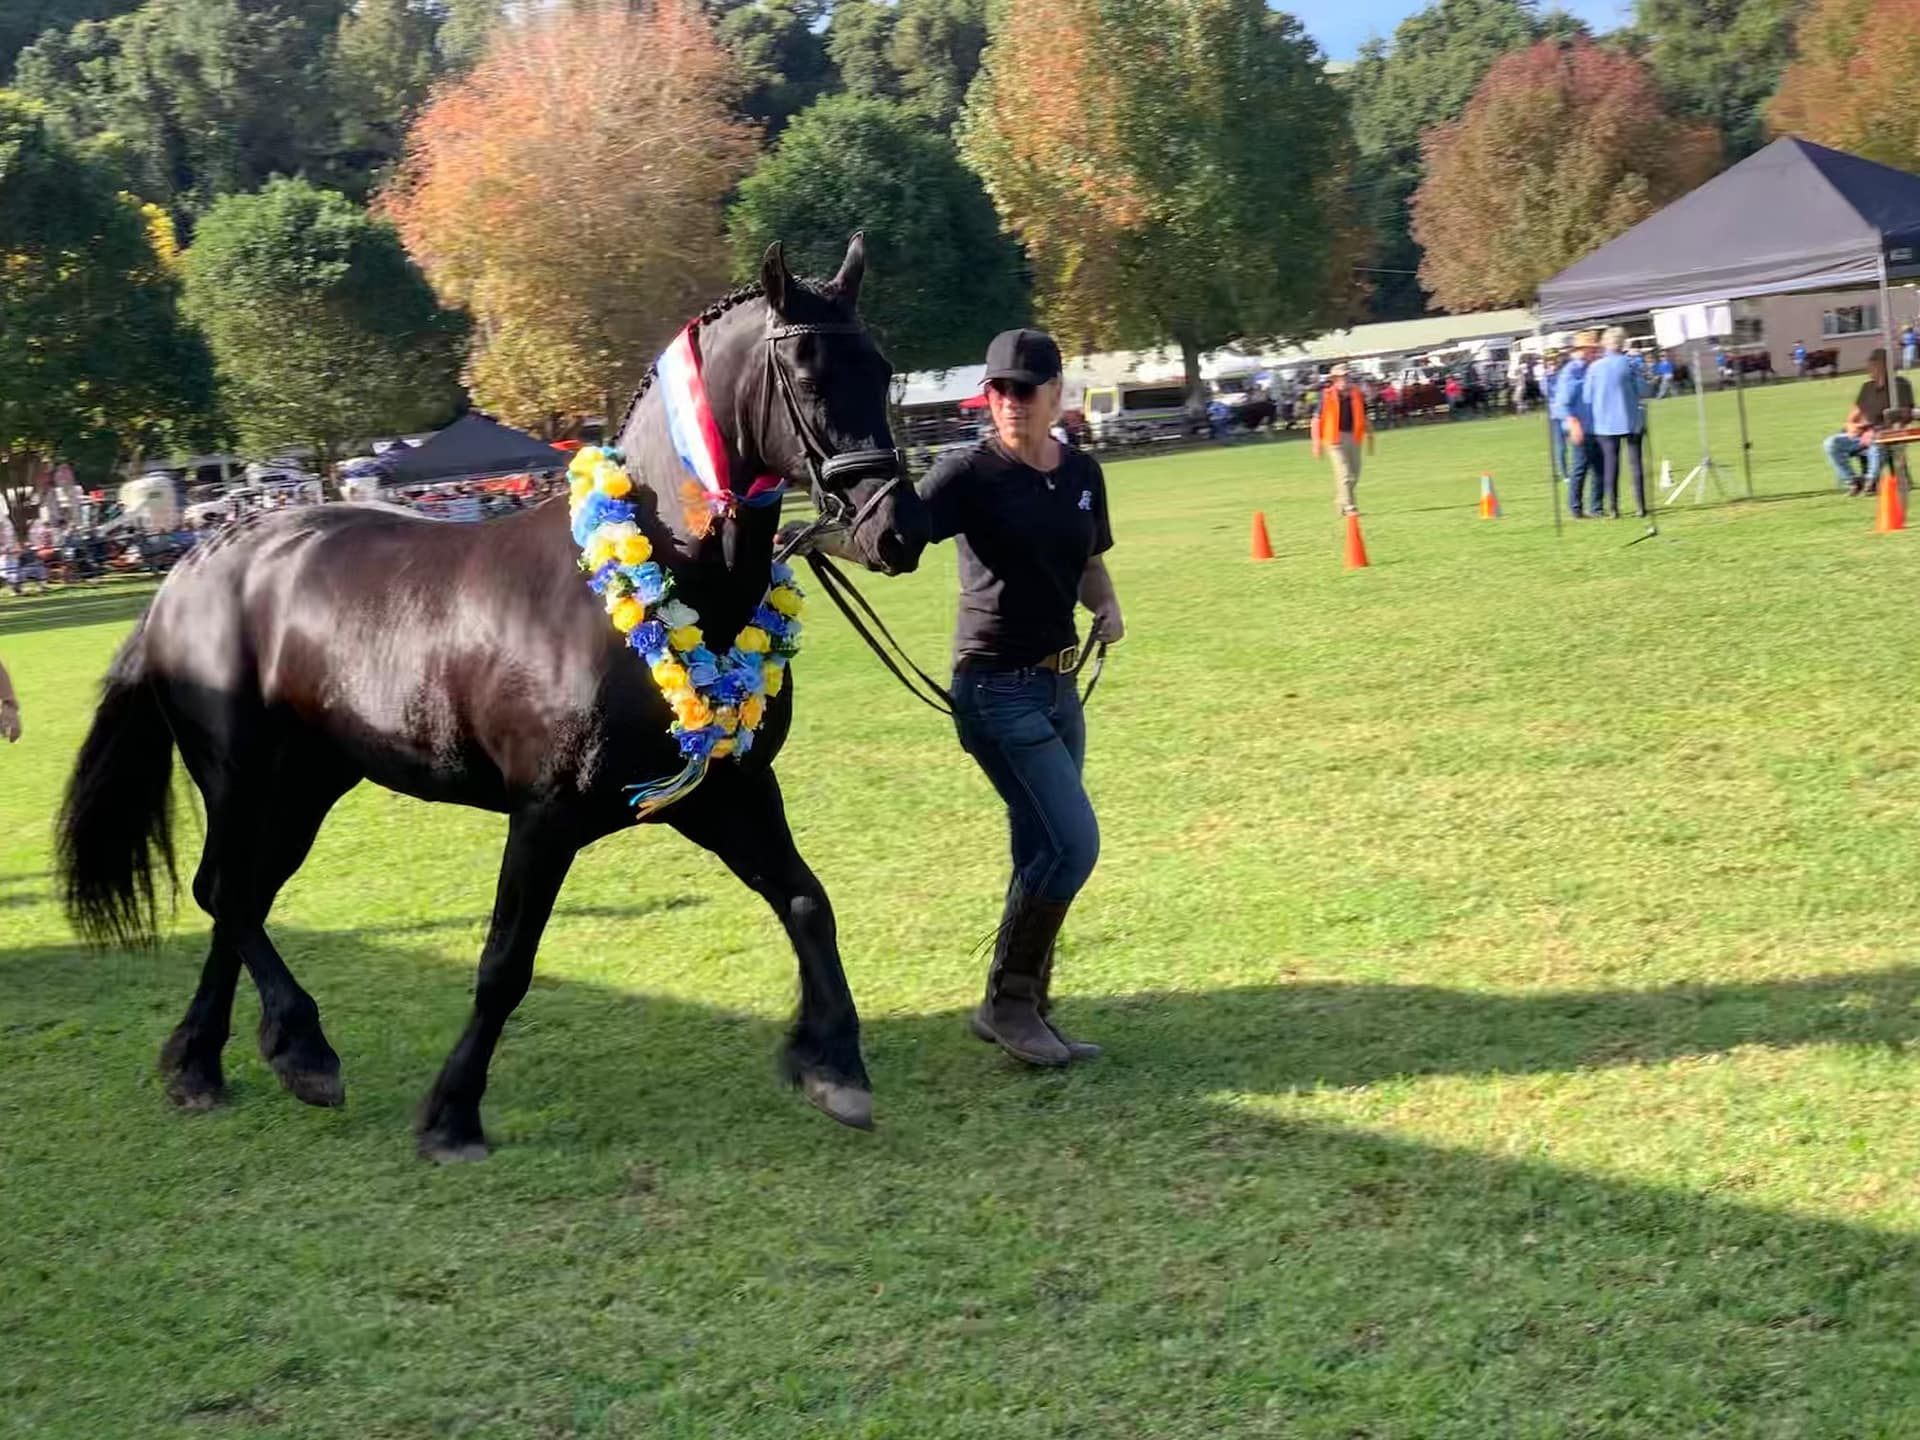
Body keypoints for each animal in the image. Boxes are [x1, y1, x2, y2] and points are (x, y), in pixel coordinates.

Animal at [56, 234, 928, 1161]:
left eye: (882, 368)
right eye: (805, 373)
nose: (896, 528)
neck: (645, 580)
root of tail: (189, 567)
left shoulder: (724, 789)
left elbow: (806, 901)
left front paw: (832, 1062)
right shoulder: (547, 814)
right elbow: (506, 961)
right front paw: (451, 1113)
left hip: (306, 785)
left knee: (238, 897)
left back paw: (223, 1060)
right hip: (241, 777)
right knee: (227, 893)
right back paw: (280, 1050)